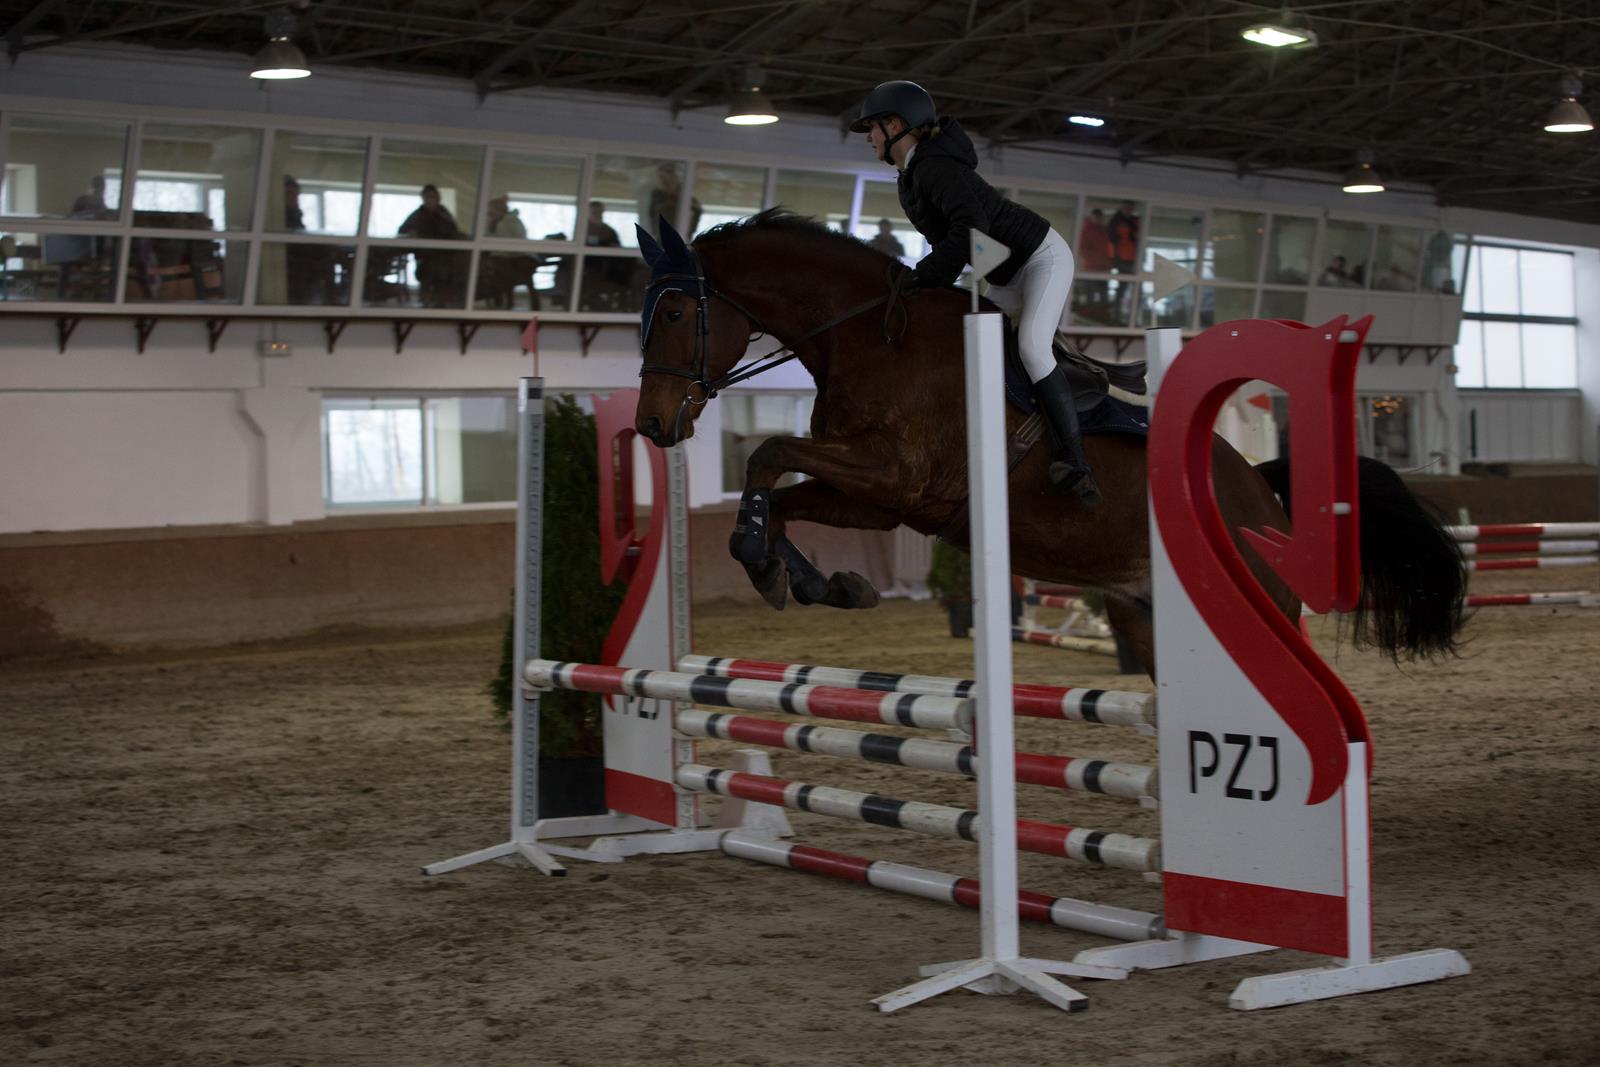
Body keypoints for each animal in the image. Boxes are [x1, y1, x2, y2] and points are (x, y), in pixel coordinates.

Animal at [630, 209, 1464, 674]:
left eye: (671, 312)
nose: (651, 424)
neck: (866, 332)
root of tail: (1261, 488)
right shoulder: (880, 499)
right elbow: (782, 493)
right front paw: (811, 579)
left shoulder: (892, 474)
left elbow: (768, 456)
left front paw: (770, 561)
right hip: (1143, 614)